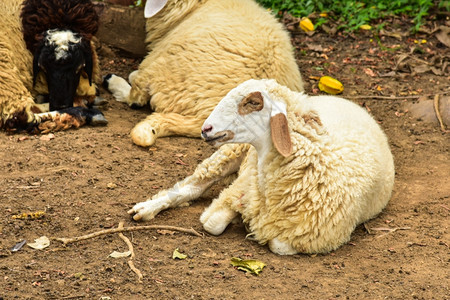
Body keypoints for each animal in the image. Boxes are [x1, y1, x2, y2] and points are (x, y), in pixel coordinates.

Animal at [128, 78, 396, 254]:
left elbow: (277, 244)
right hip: (231, 151)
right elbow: (212, 223)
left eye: (253, 102)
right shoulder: (241, 185)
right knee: (193, 185)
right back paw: (146, 208)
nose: (206, 129)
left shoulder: (313, 238)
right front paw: (232, 213)